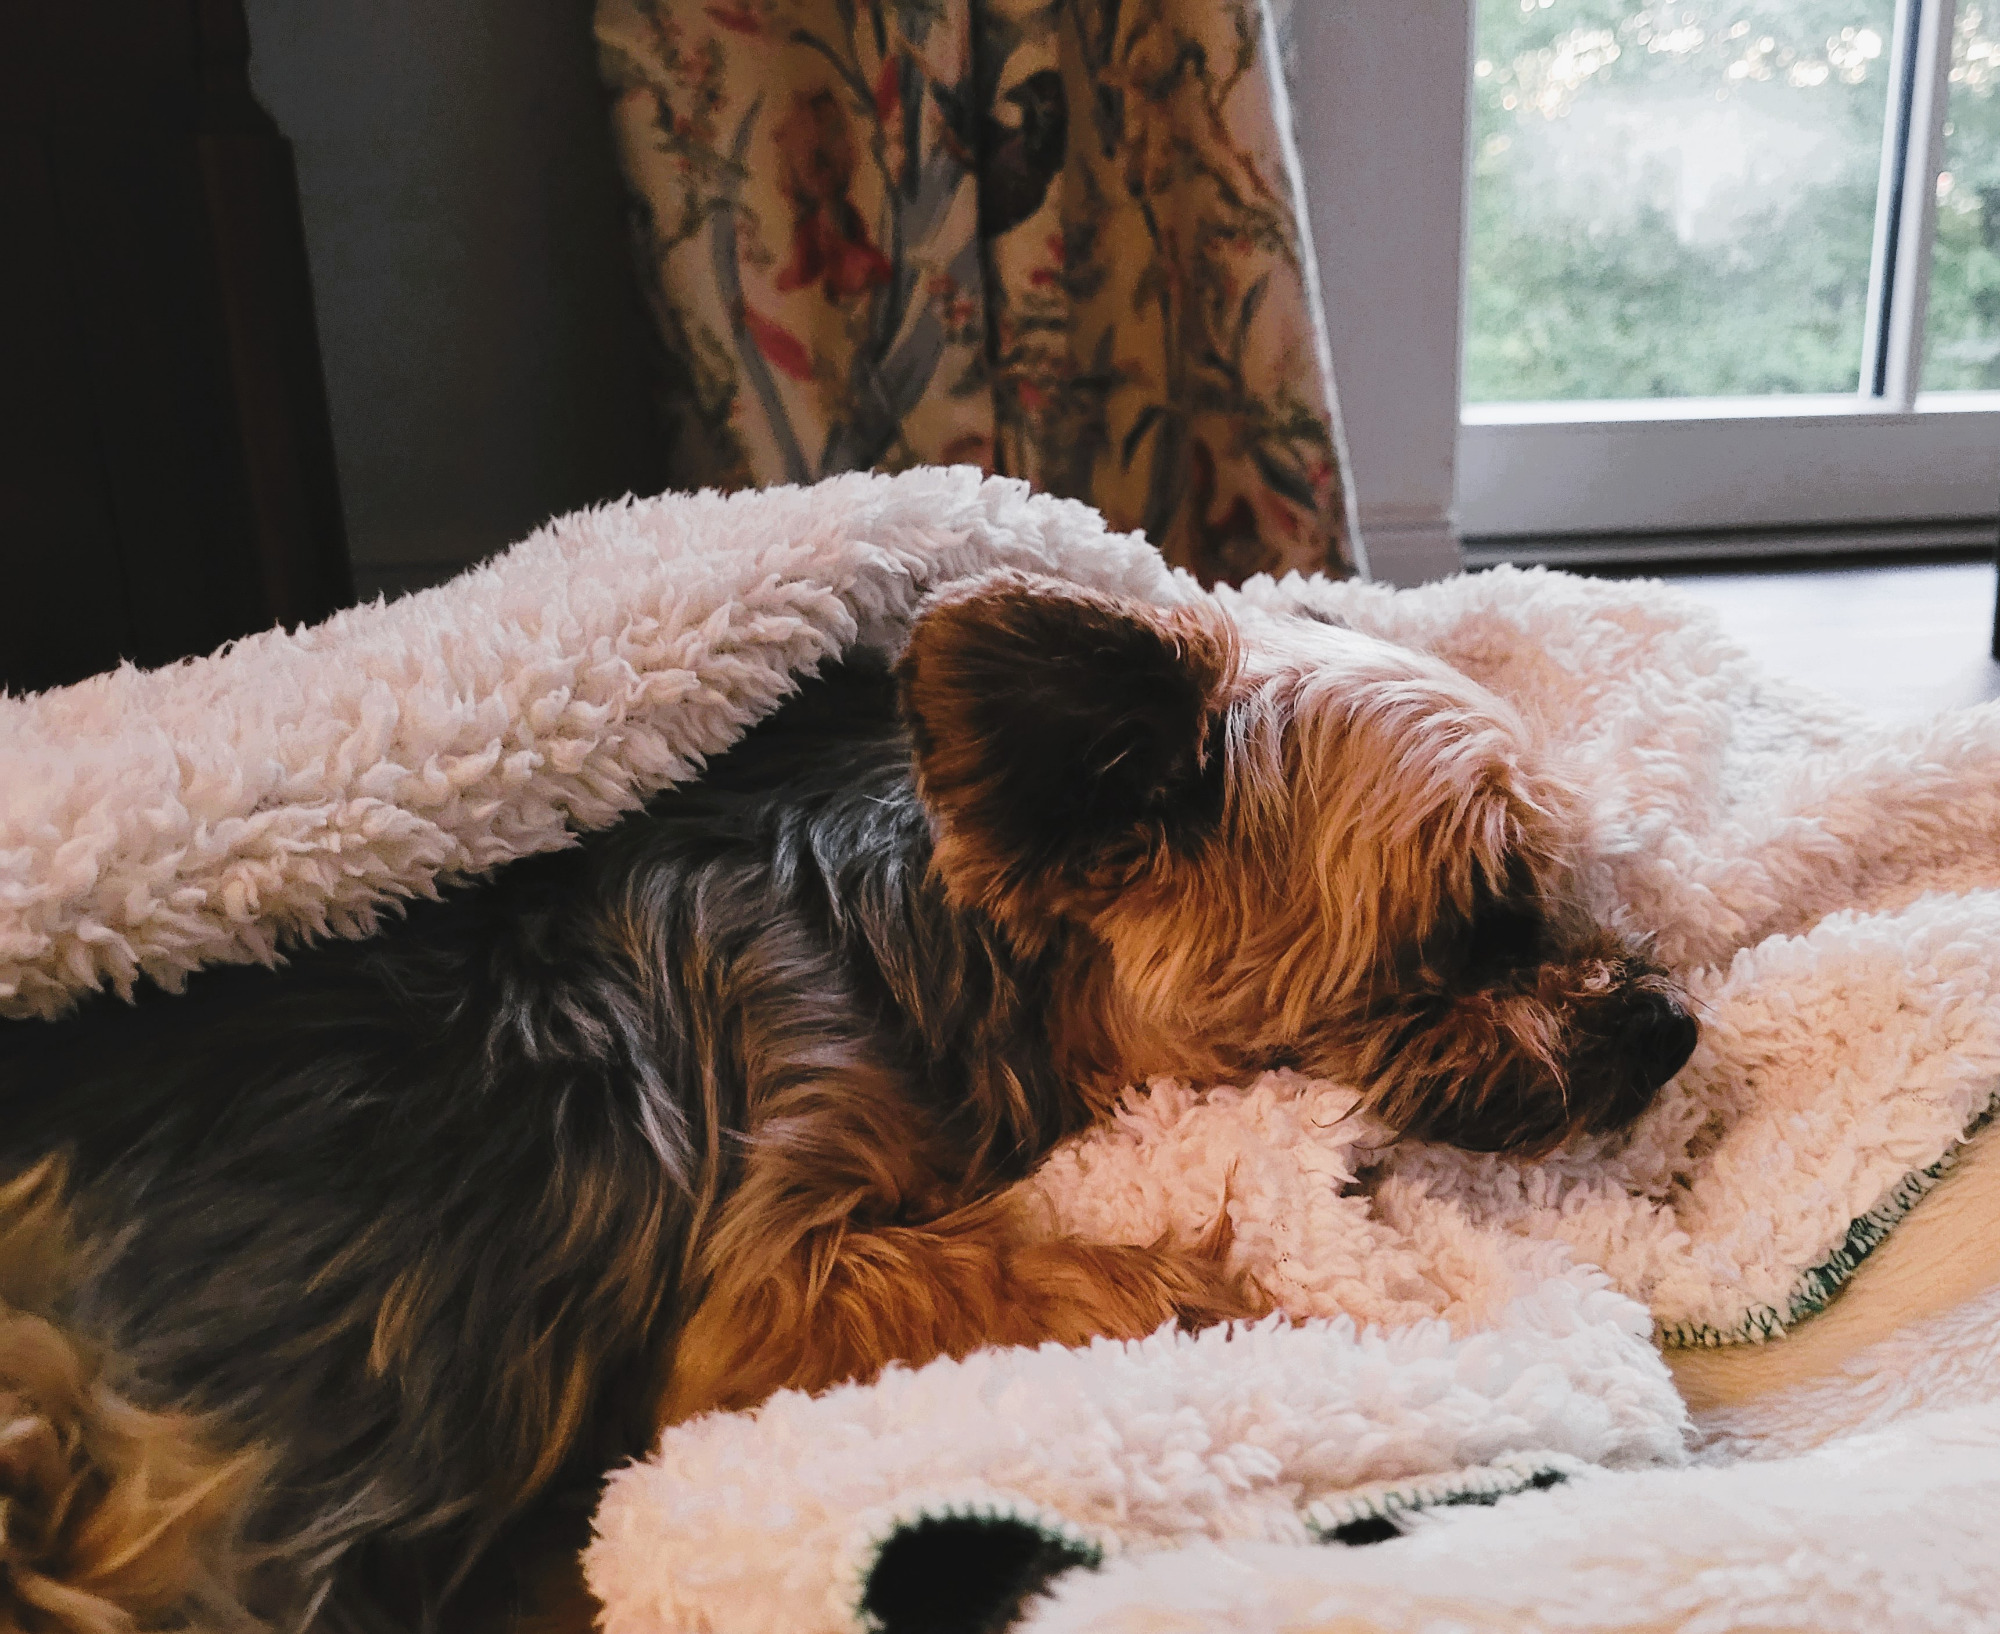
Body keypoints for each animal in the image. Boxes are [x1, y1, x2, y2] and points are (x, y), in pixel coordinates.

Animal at [0, 571, 1696, 1634]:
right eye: (1481, 919)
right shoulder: (767, 1278)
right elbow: (1081, 1270)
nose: (1674, 1022)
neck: (956, 965)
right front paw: (1298, 1303)